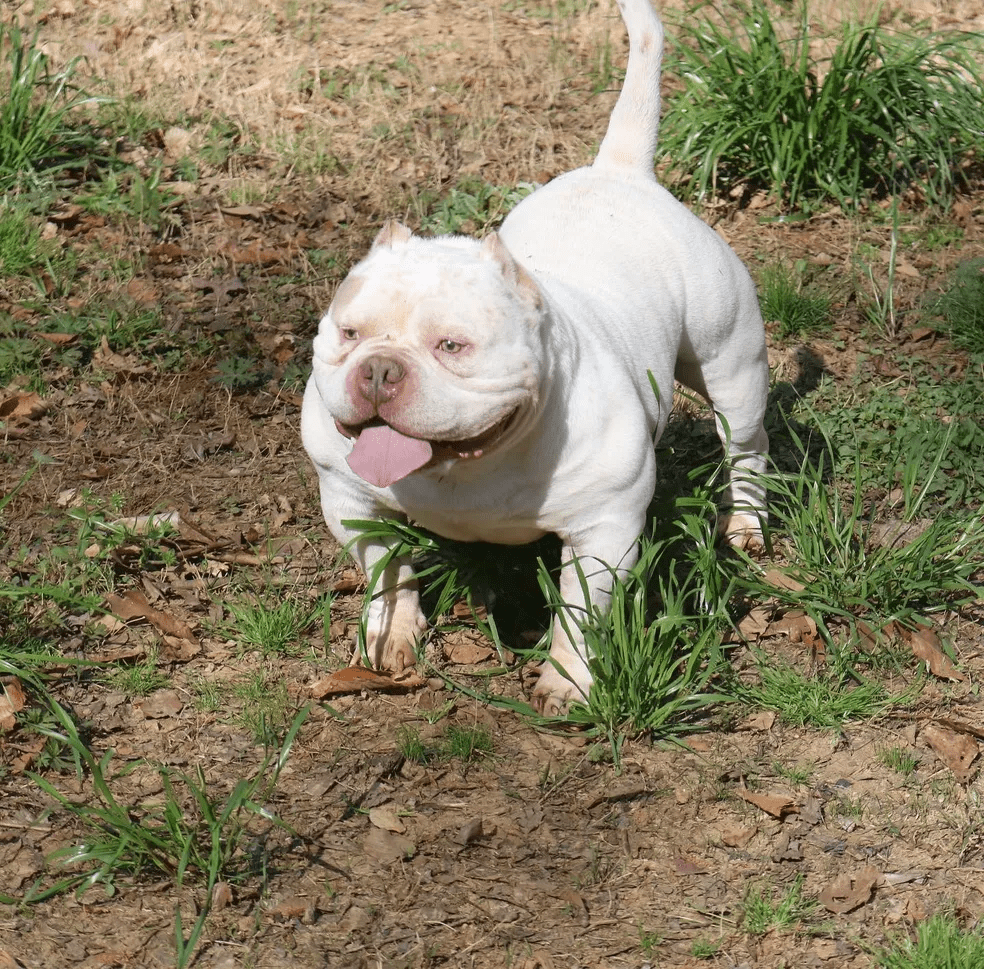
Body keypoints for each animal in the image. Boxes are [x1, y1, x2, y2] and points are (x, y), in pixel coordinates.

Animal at [300, 0, 768, 712]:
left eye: (452, 346)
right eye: (350, 334)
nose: (380, 370)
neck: (466, 469)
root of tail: (620, 170)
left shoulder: (603, 531)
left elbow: (581, 614)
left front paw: (568, 685)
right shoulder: (352, 502)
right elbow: (388, 572)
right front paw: (390, 635)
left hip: (730, 368)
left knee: (746, 445)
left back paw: (745, 521)